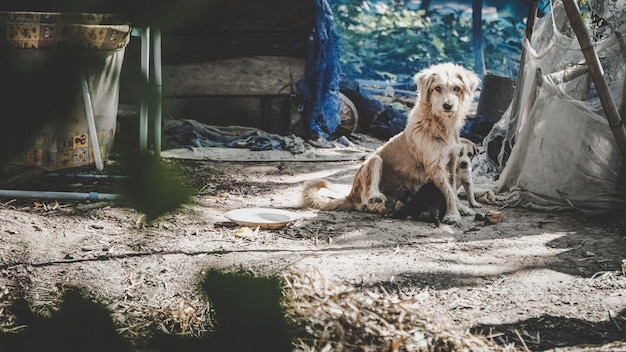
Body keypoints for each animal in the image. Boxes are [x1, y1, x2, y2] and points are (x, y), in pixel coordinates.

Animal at [302, 63, 478, 223]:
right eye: (437, 88)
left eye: (456, 88)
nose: (448, 106)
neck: (440, 126)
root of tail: (350, 195)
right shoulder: (435, 167)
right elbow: (448, 191)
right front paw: (453, 215)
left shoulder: (452, 162)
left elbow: (452, 189)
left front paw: (461, 209)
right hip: (374, 160)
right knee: (369, 192)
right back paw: (375, 198)